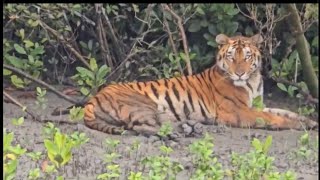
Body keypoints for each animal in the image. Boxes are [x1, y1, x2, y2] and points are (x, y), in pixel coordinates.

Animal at [83, 33, 318, 135]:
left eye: (247, 56)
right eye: (232, 57)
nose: (240, 73)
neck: (251, 81)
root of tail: (94, 98)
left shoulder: (257, 104)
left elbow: (286, 111)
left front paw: (310, 121)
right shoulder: (239, 111)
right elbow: (274, 117)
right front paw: (296, 125)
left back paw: (191, 127)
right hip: (142, 104)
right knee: (140, 126)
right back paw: (180, 133)